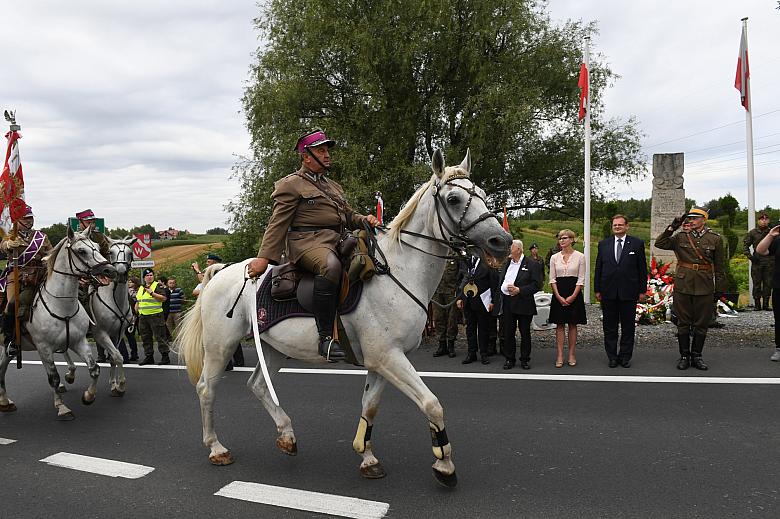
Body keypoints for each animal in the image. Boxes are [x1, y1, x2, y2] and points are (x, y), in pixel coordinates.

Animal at [0, 228, 116, 418]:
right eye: (81, 251)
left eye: (98, 247)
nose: (110, 270)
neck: (62, 305)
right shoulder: (44, 348)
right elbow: (54, 378)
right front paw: (62, 408)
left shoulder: (79, 341)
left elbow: (94, 369)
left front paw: (88, 396)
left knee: (1, 369)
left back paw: (5, 402)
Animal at [61, 236, 136, 398]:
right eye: (110, 252)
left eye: (130, 253)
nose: (120, 273)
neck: (115, 300)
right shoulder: (101, 334)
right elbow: (118, 356)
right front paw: (121, 386)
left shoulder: (118, 334)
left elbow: (114, 358)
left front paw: (113, 384)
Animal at [173, 150, 508, 488]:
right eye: (453, 199)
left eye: (482, 194)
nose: (501, 241)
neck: (398, 272)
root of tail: (220, 273)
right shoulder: (389, 357)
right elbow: (432, 404)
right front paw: (444, 465)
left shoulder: (381, 361)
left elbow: (369, 407)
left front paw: (367, 456)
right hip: (220, 346)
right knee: (206, 388)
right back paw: (216, 448)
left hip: (273, 348)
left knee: (257, 385)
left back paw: (287, 436)